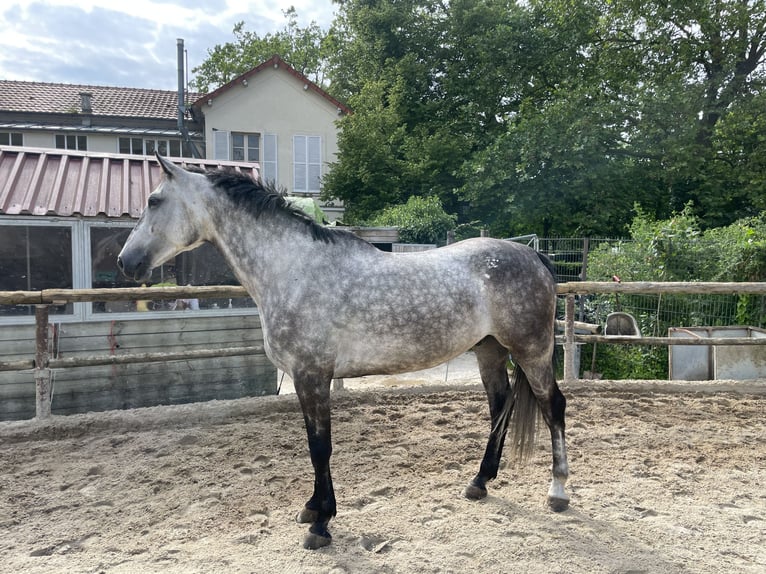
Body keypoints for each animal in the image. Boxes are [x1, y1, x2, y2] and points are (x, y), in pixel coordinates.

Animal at [118, 155, 568, 552]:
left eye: (154, 200)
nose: (126, 262)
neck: (294, 271)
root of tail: (533, 255)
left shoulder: (312, 375)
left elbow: (321, 447)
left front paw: (320, 525)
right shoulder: (305, 379)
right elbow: (314, 445)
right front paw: (312, 508)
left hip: (532, 351)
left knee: (553, 407)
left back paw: (558, 492)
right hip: (489, 351)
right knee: (499, 406)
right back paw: (479, 482)